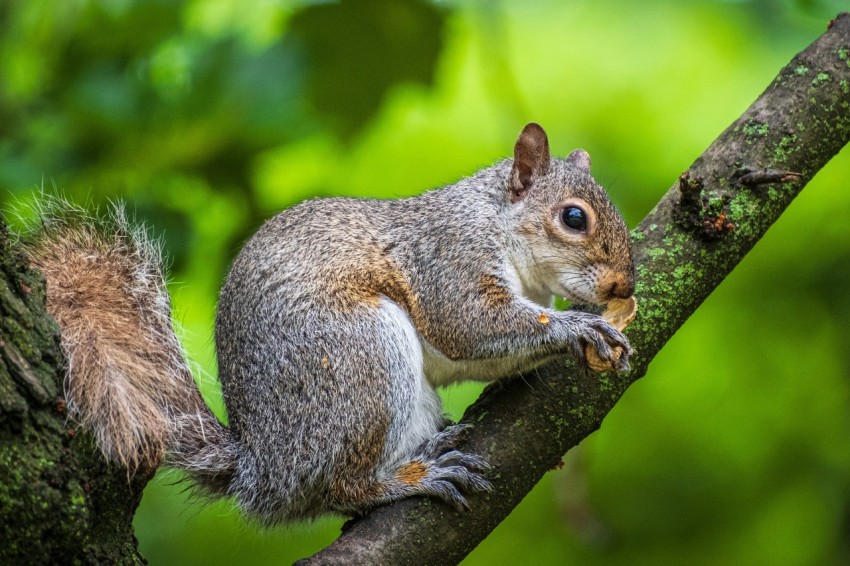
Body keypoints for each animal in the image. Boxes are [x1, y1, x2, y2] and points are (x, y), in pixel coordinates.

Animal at [23, 122, 632, 524]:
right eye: (573, 218)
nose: (623, 287)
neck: (497, 223)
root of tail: (262, 466)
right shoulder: (448, 260)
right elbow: (468, 324)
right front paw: (575, 329)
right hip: (360, 357)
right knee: (340, 488)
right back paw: (407, 479)